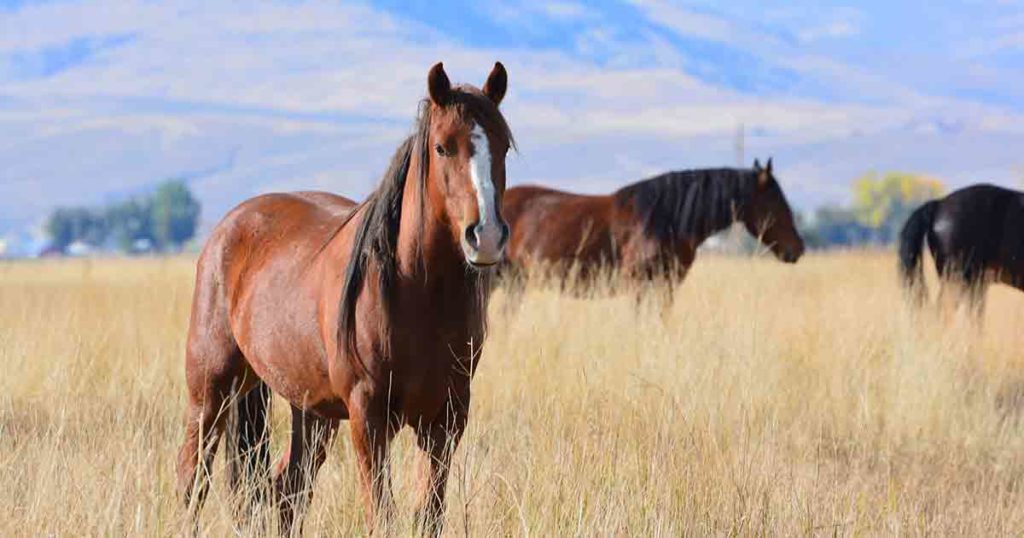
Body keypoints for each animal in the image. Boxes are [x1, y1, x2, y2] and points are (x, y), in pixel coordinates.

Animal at [176, 61, 514, 536]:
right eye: (442, 147)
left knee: (287, 488)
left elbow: (429, 514)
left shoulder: (445, 420)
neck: (419, 295)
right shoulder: (368, 418)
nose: (485, 236)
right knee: (193, 479)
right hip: (211, 390)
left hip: (311, 411)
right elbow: (382, 515)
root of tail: (227, 228)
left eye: (503, 146)